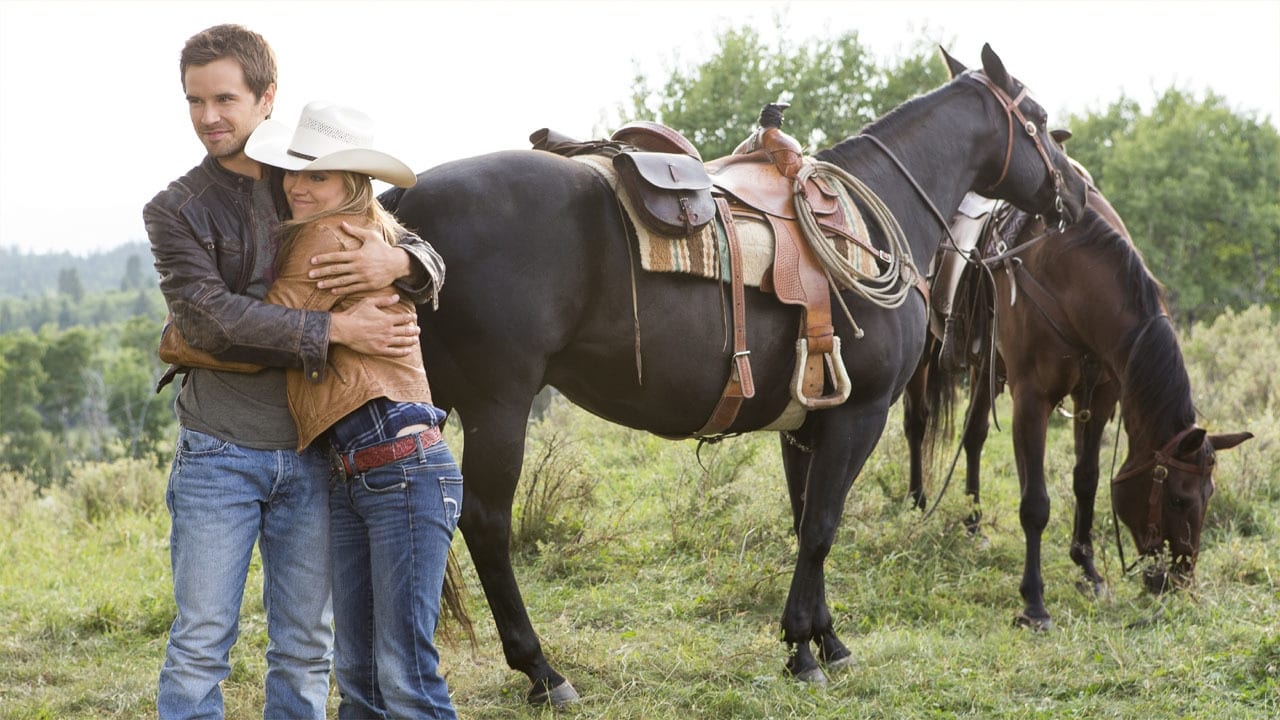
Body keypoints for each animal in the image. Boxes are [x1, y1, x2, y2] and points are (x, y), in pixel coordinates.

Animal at [384, 44, 1085, 702]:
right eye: (1038, 117)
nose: (1075, 194)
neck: (876, 214)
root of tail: (405, 199)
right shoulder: (859, 415)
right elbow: (823, 528)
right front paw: (801, 649)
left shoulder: (807, 423)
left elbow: (806, 523)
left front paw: (827, 640)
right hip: (497, 405)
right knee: (484, 523)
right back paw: (542, 670)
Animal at [906, 180, 1254, 627]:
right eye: (1178, 498)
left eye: (1209, 495)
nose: (1178, 582)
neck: (1070, 276)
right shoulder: (1031, 398)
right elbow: (1035, 502)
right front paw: (1034, 603)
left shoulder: (1100, 398)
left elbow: (1086, 479)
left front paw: (1088, 571)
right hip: (923, 356)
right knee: (917, 422)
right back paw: (916, 505)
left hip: (986, 368)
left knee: (975, 435)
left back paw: (973, 525)